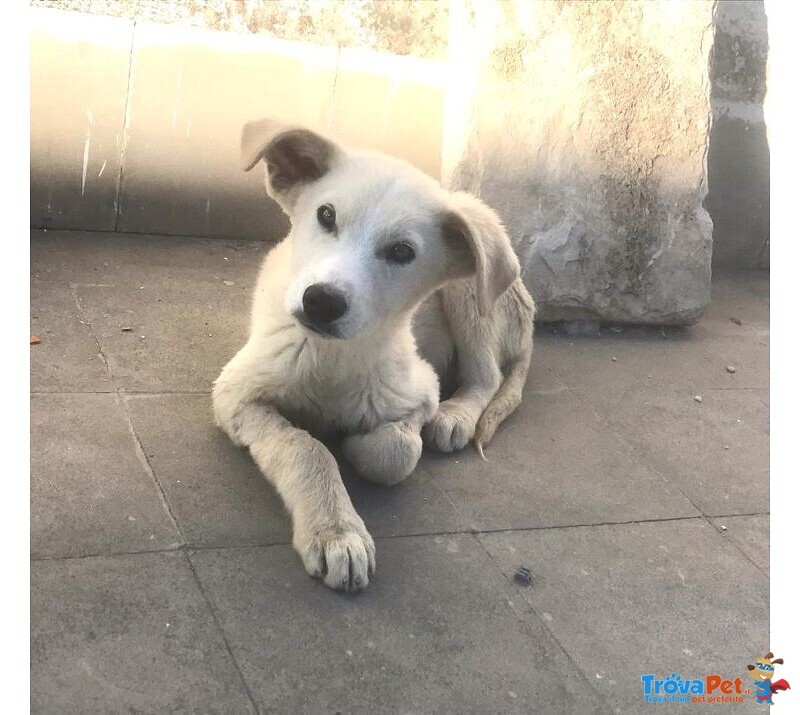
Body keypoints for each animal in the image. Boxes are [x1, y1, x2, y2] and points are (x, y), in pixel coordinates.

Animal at [216, 120, 536, 592]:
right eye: (326, 215)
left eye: (402, 251)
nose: (321, 302)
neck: (333, 357)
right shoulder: (235, 394)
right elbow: (305, 447)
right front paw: (336, 531)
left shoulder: (422, 389)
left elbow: (396, 452)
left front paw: (358, 445)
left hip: (472, 293)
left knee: (488, 377)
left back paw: (455, 416)